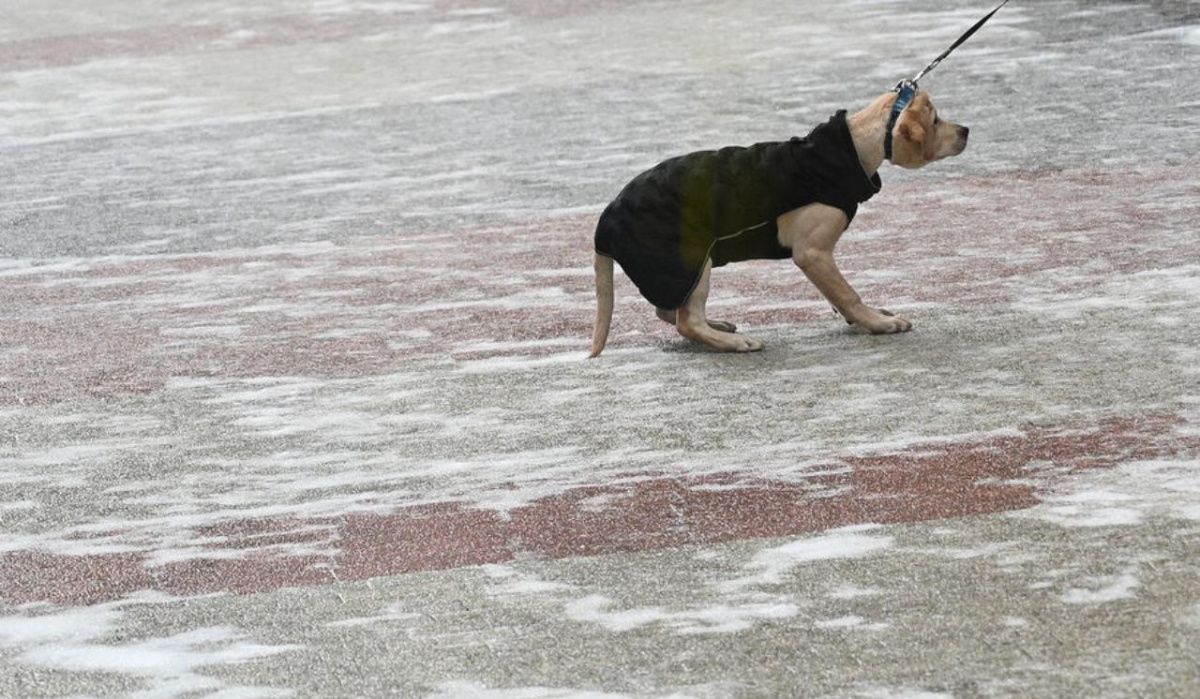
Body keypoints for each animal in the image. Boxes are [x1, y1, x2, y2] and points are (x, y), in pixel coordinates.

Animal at [585, 89, 969, 357]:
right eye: (936, 121)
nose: (966, 130)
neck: (852, 147)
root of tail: (606, 220)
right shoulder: (812, 252)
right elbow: (848, 293)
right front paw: (878, 322)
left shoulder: (819, 260)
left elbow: (836, 292)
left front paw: (864, 317)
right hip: (691, 260)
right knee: (685, 321)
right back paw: (733, 343)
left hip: (683, 270)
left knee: (670, 311)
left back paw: (718, 324)